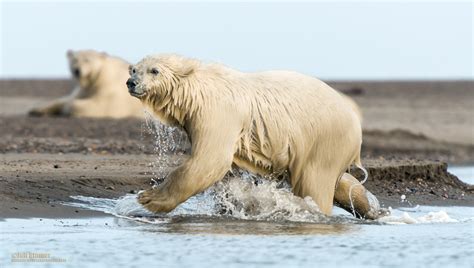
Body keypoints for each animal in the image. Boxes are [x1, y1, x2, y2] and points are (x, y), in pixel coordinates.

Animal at [127, 54, 388, 220]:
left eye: (154, 70)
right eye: (134, 68)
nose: (131, 82)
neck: (197, 89)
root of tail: (355, 121)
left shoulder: (217, 113)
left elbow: (209, 161)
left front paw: (148, 198)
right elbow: (224, 171)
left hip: (323, 137)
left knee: (314, 182)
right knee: (339, 181)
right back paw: (370, 209)